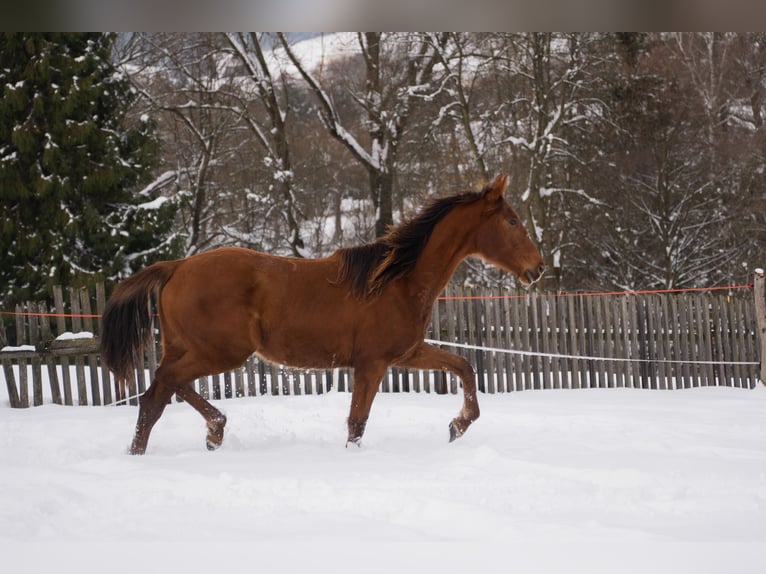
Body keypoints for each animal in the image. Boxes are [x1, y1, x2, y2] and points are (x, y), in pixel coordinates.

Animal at [100, 173, 544, 454]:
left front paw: (457, 426)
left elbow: (463, 365)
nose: (537, 268)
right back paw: (205, 434)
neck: (398, 279)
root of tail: (176, 266)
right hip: (221, 352)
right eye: (511, 221)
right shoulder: (372, 363)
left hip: (190, 349)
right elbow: (357, 422)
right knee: (162, 384)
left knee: (156, 395)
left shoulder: (406, 354)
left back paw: (175, 443)